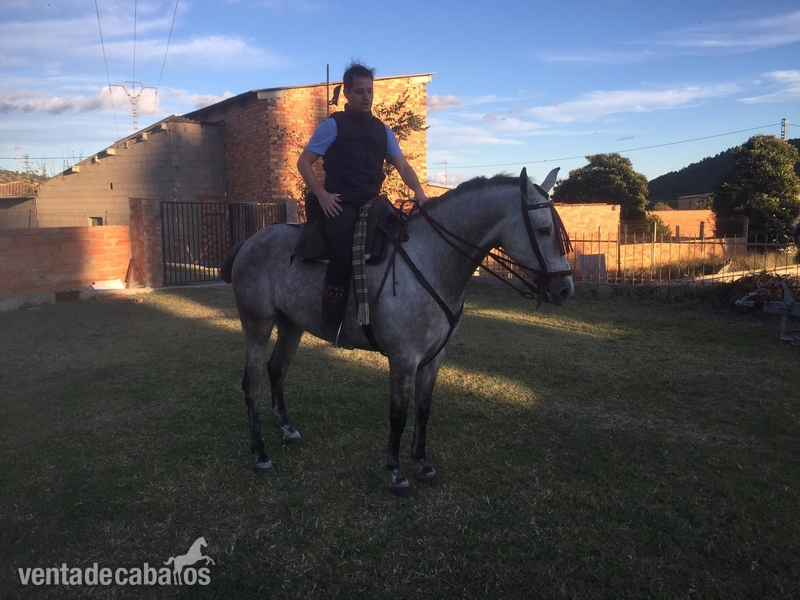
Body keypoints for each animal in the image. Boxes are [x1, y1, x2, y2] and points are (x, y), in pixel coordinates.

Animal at [221, 167, 574, 496]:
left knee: (276, 370)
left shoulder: (433, 358)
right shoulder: (403, 358)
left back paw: (287, 429)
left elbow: (423, 410)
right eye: (544, 230)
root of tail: (250, 241)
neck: (431, 260)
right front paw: (396, 472)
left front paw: (423, 464)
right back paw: (260, 454)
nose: (565, 290)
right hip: (257, 324)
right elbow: (398, 414)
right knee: (252, 383)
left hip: (291, 325)